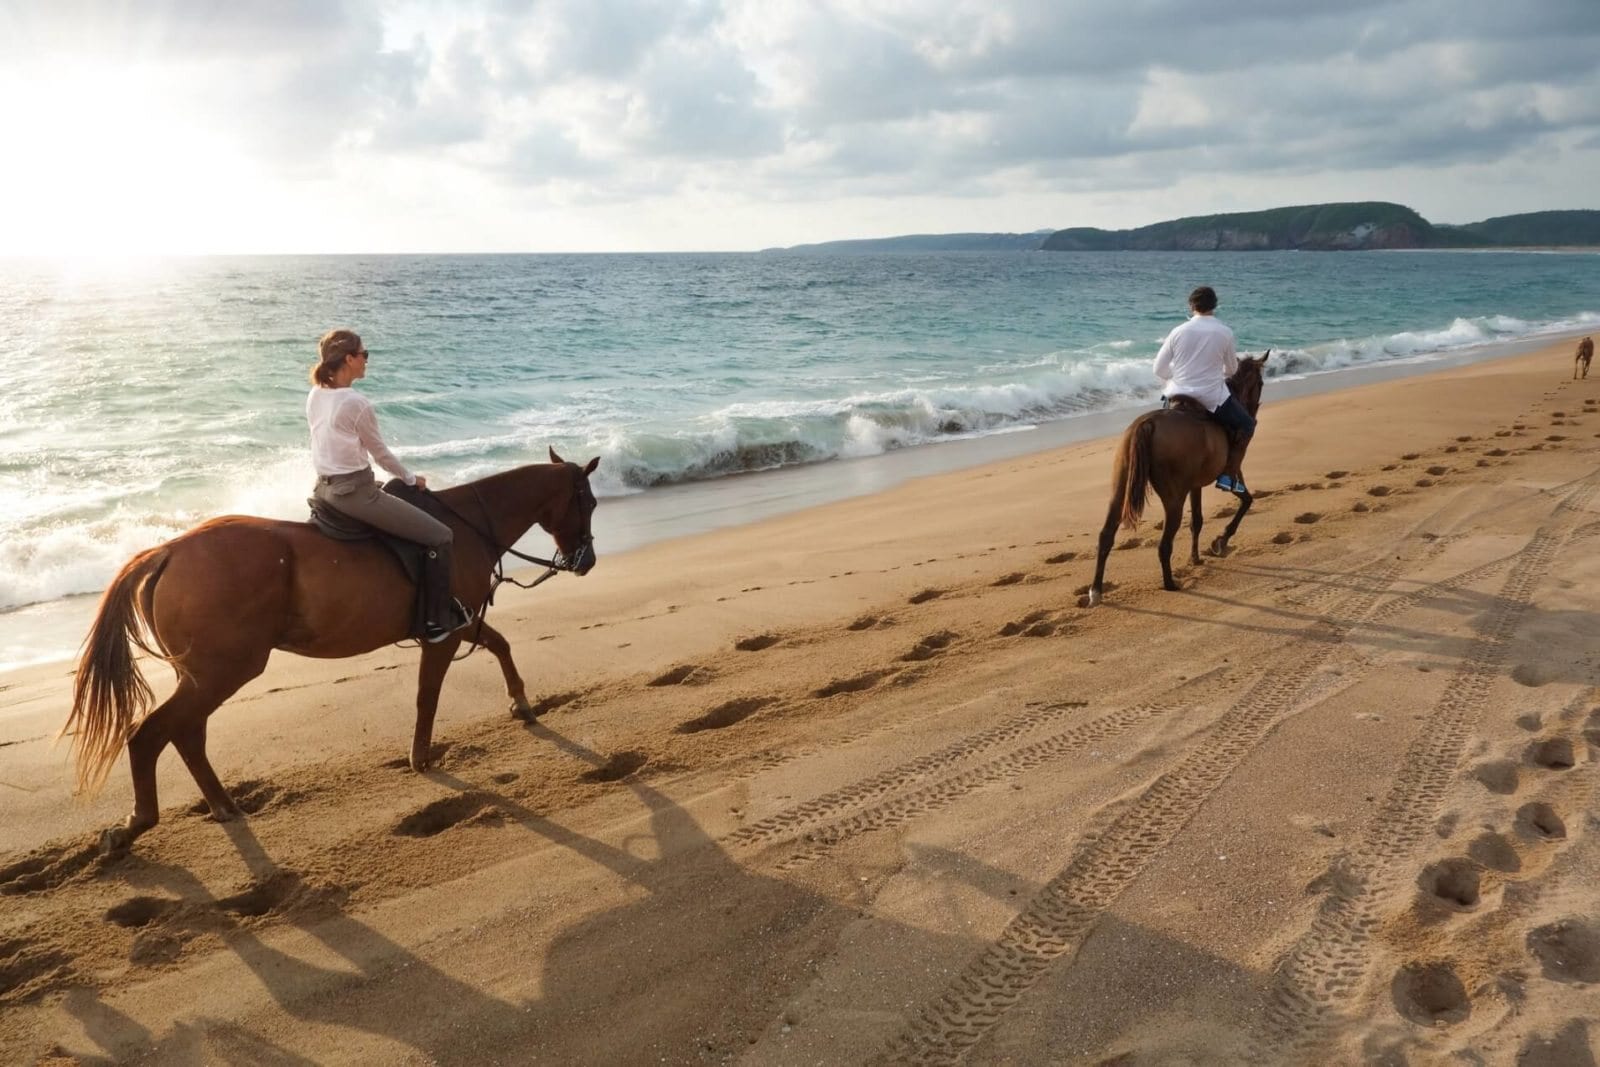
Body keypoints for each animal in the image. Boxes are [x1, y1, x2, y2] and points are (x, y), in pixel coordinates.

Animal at [60, 447, 601, 857]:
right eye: (589, 502)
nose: (588, 561)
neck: (466, 526)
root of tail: (168, 550)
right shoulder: (445, 634)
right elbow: (428, 694)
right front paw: (421, 758)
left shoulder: (461, 624)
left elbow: (499, 645)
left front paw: (521, 703)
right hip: (222, 672)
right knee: (153, 734)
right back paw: (138, 822)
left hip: (200, 675)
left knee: (185, 733)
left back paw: (221, 805)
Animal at [1088, 350, 1273, 601]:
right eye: (1261, 383)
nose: (1252, 415)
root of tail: (1148, 423)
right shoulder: (1233, 473)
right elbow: (1246, 501)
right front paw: (1221, 541)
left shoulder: (1195, 486)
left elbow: (1197, 521)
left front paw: (1195, 558)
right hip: (1174, 497)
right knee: (1164, 544)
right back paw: (1169, 583)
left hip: (1120, 489)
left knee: (1106, 535)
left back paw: (1096, 590)